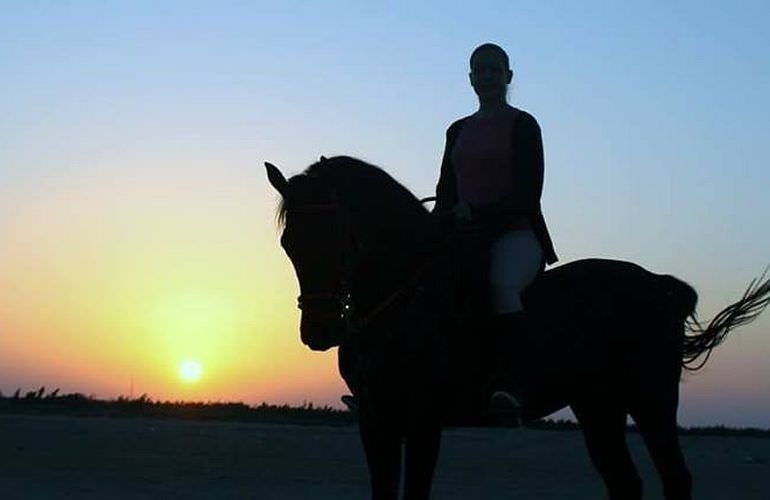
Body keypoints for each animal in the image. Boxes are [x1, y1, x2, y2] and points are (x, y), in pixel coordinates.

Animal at [264, 156, 768, 500]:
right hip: (598, 405)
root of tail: (656, 285)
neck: (401, 303)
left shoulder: (423, 420)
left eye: (338, 238)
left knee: (675, 477)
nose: (319, 332)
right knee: (624, 481)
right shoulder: (375, 420)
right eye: (289, 244)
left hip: (651, 398)